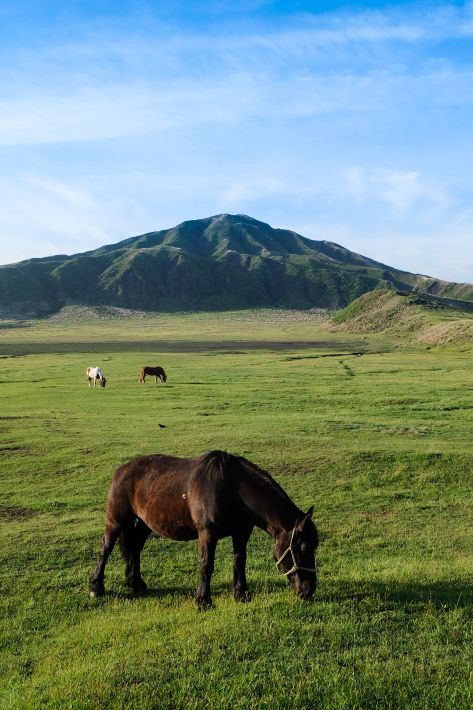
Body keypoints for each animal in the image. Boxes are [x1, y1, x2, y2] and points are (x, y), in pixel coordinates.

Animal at [88, 450, 318, 612]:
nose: (308, 591)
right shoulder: (207, 533)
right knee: (106, 549)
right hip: (116, 521)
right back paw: (96, 587)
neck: (230, 488)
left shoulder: (241, 532)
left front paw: (241, 594)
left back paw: (136, 583)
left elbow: (239, 561)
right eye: (304, 548)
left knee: (134, 548)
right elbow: (207, 565)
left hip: (145, 524)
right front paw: (203, 601)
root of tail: (121, 471)